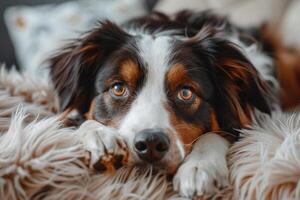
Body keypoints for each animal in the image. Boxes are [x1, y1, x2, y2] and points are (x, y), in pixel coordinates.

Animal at [48, 10, 300, 197]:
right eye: (118, 88)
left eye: (186, 93)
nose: (149, 144)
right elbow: (79, 121)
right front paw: (101, 138)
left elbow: (214, 135)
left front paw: (199, 167)